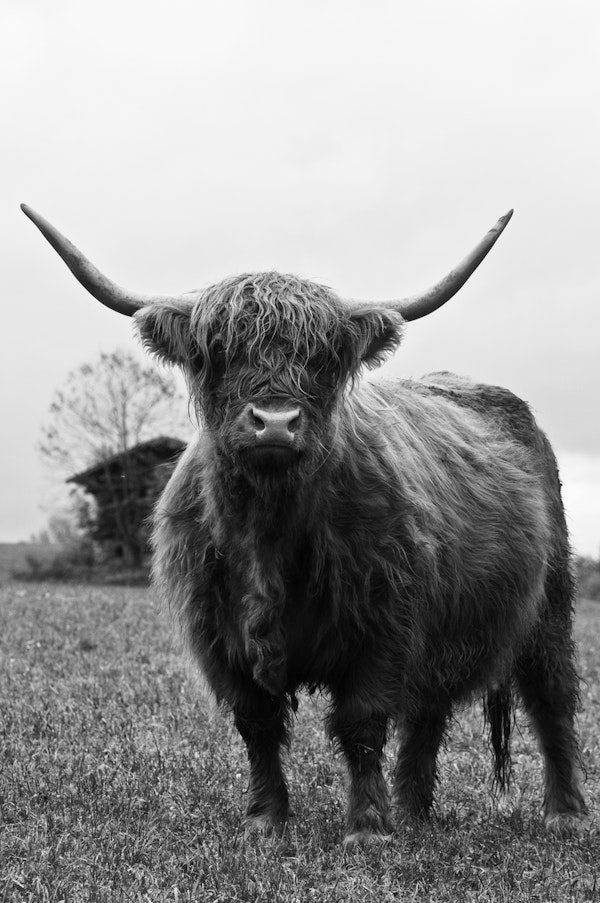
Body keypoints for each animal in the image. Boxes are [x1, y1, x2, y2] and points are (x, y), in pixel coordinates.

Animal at [22, 203, 589, 845]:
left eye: (324, 358)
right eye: (216, 350)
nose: (274, 421)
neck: (269, 534)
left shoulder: (384, 625)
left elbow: (362, 724)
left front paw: (366, 827)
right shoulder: (218, 637)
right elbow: (258, 726)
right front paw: (267, 821)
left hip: (549, 605)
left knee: (551, 699)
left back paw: (562, 813)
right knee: (429, 712)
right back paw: (414, 812)